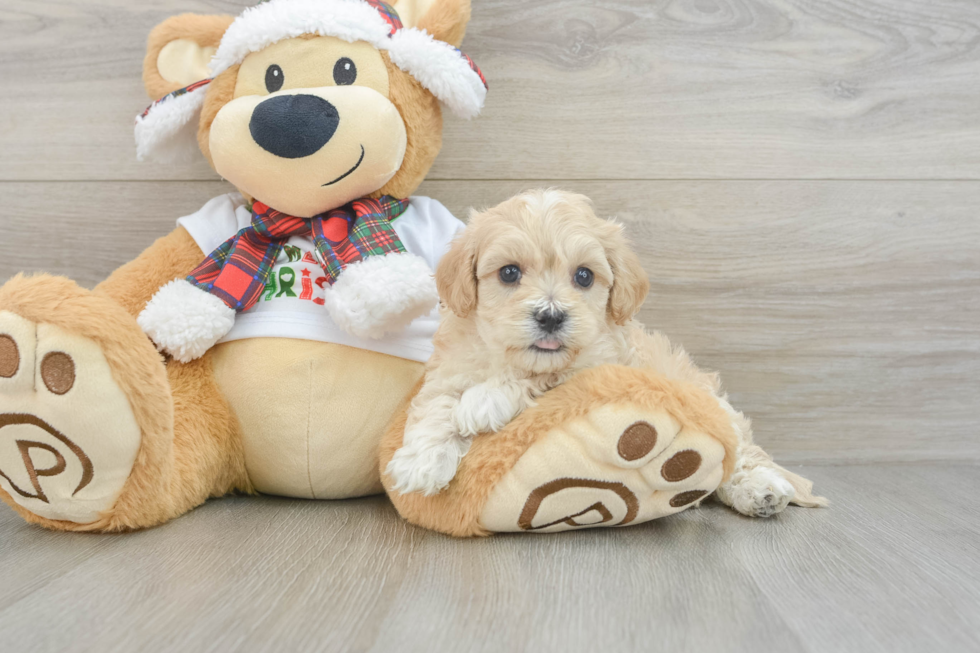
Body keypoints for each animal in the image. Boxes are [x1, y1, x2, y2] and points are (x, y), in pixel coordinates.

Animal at [388, 187, 804, 516]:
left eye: (584, 276)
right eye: (508, 273)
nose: (551, 316)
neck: (509, 357)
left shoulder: (597, 367)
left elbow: (538, 379)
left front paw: (484, 400)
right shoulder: (450, 369)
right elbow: (436, 406)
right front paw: (420, 462)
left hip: (716, 408)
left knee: (740, 456)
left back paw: (761, 490)